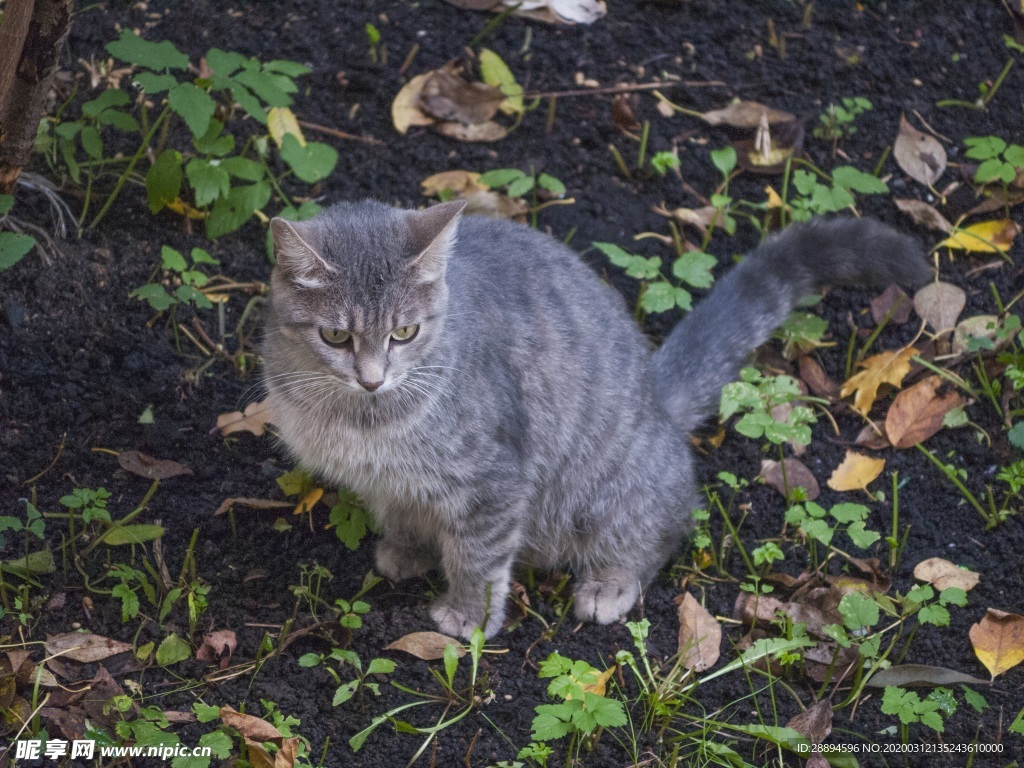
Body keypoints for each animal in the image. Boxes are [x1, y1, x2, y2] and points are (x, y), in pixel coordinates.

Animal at [262, 201, 929, 638]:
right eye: (335, 336)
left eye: (405, 332)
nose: (372, 376)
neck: (362, 420)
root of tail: (658, 400)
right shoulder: (391, 484)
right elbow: (408, 516)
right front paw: (406, 551)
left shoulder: (494, 480)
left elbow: (478, 557)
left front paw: (467, 616)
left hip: (612, 490)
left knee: (660, 531)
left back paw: (609, 583)